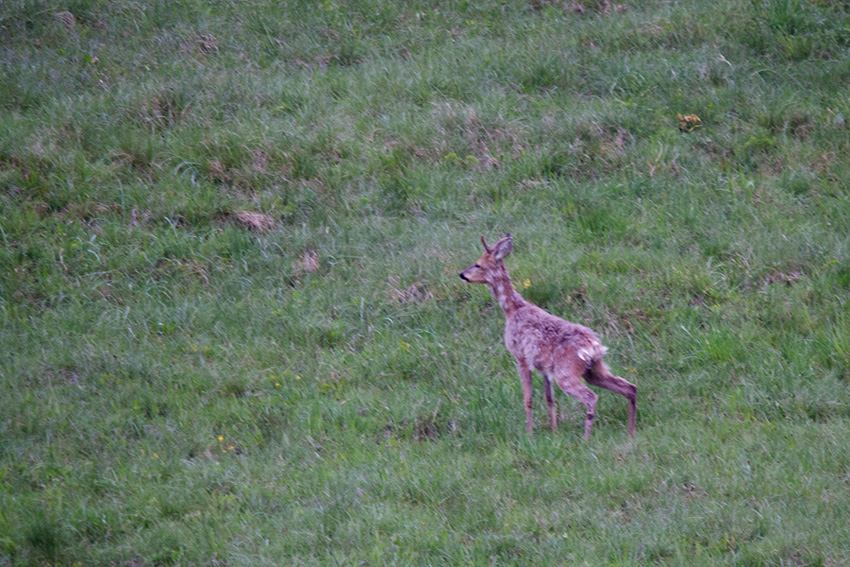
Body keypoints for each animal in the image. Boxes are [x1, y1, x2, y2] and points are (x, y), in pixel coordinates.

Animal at [458, 234, 636, 440]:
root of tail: (594, 346)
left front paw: (529, 434)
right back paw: (631, 434)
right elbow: (549, 398)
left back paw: (586, 439)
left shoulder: (521, 357)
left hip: (566, 372)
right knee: (629, 387)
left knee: (592, 397)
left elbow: (528, 399)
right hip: (594, 370)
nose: (462, 274)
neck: (513, 310)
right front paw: (554, 431)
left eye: (478, 264)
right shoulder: (544, 367)